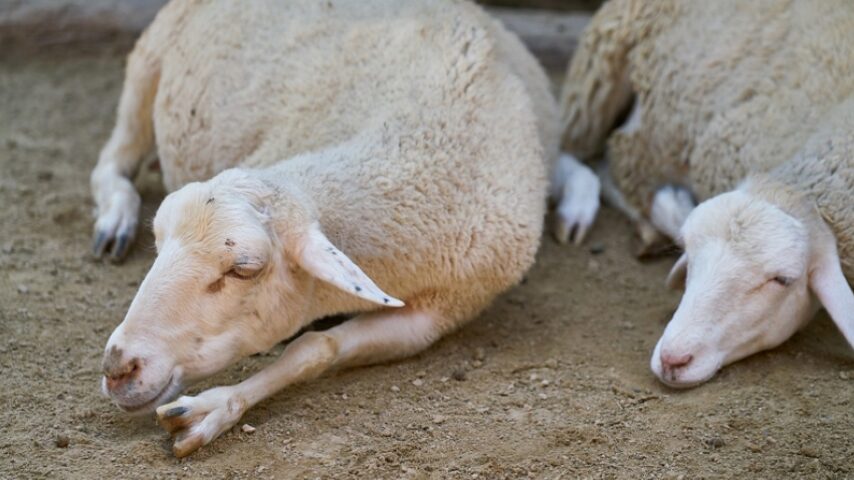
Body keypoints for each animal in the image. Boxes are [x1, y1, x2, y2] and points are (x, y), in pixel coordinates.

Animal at [95, 0, 560, 458]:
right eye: (158, 241)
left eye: (243, 269)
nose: (119, 367)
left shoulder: (438, 315)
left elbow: (316, 349)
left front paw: (214, 407)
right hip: (147, 60)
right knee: (113, 158)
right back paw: (114, 219)